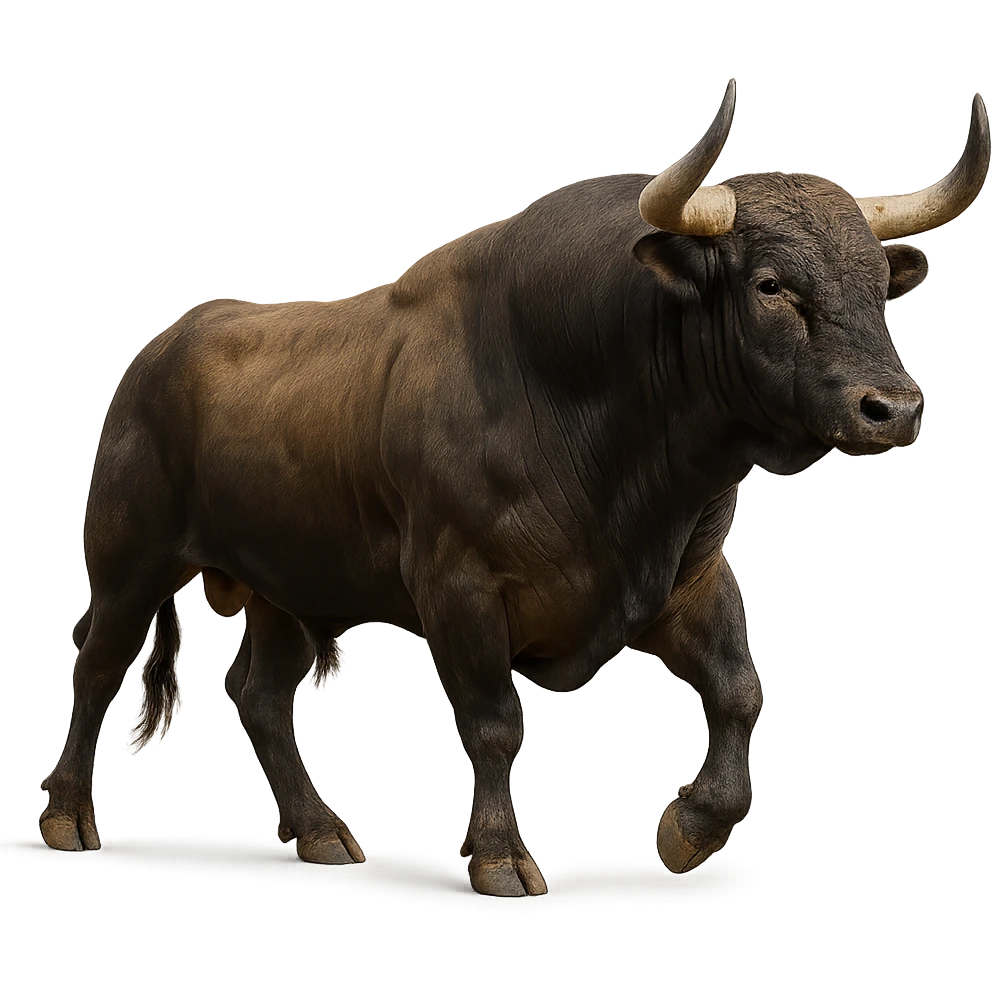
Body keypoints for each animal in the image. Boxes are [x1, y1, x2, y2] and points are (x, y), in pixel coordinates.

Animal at [47, 81, 989, 897]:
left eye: (879, 284)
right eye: (770, 285)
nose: (894, 407)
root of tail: (161, 350)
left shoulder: (689, 579)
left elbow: (739, 690)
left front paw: (688, 830)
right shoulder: (459, 586)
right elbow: (496, 723)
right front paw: (501, 857)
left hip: (289, 585)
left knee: (261, 697)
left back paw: (322, 832)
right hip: (131, 561)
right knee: (96, 665)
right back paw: (67, 819)